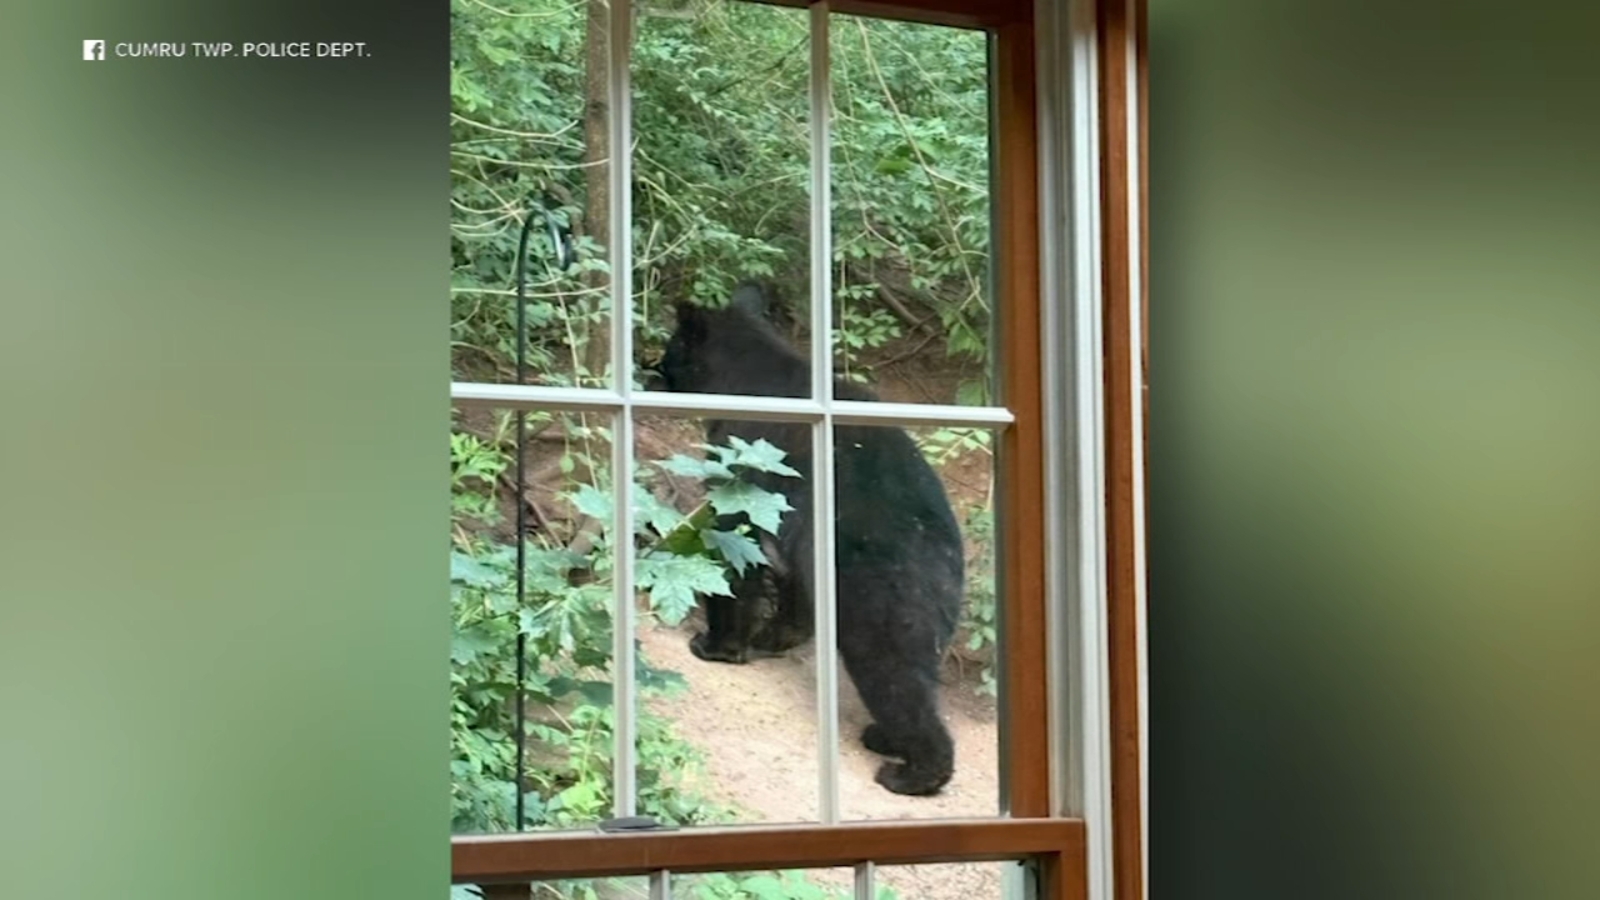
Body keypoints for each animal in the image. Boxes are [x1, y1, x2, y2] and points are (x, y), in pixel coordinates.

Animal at [650, 281, 966, 797]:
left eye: (671, 347)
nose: (654, 368)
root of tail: (937, 548)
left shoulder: (742, 466)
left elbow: (735, 550)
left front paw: (718, 644)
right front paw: (776, 635)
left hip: (877, 598)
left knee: (895, 678)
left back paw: (910, 771)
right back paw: (886, 738)